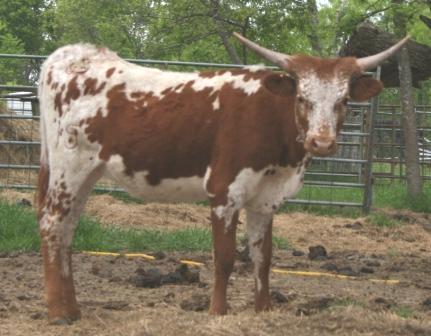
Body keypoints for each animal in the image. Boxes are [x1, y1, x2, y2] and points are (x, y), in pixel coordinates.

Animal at [37, 32, 408, 324]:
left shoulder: (266, 199)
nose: (322, 142)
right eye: (302, 98)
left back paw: (73, 308)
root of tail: (72, 55)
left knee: (67, 229)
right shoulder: (224, 192)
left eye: (343, 101)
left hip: (87, 173)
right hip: (69, 168)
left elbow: (263, 257)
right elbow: (225, 257)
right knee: (52, 224)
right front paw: (218, 311)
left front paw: (264, 309)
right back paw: (58, 312)